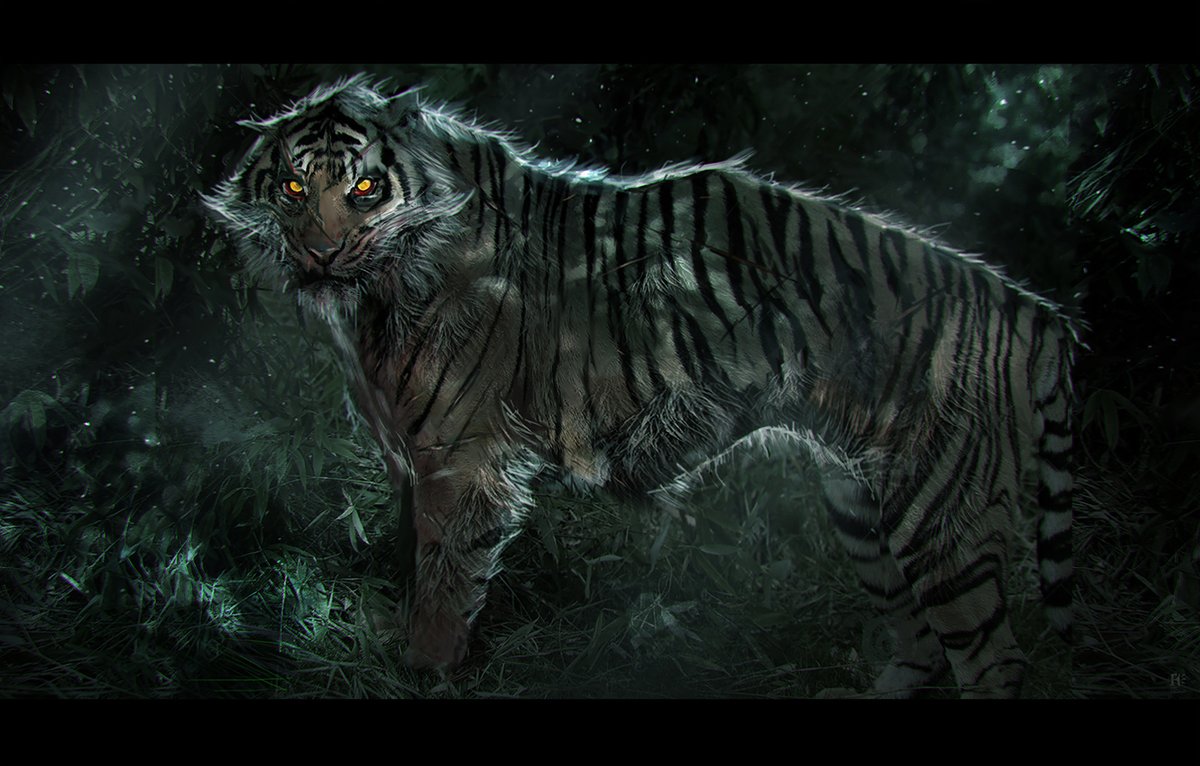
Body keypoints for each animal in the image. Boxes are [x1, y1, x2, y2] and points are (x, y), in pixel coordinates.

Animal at [204, 75, 1076, 697]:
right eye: (291, 187)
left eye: (363, 190)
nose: (319, 255)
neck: (375, 297)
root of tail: (1033, 310)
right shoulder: (410, 462)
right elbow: (408, 560)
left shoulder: (463, 463)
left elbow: (444, 587)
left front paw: (422, 671)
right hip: (863, 506)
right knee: (917, 640)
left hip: (942, 514)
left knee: (994, 661)